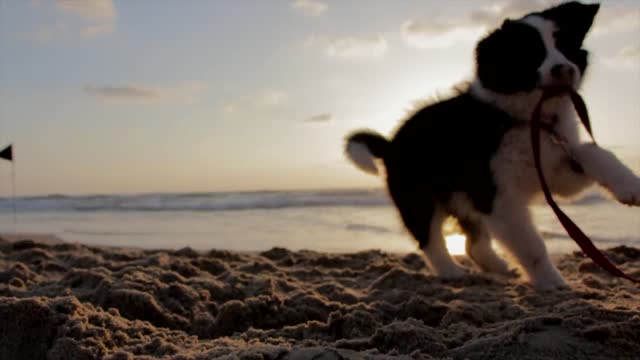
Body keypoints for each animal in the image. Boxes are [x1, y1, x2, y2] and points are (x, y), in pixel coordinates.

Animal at [344, 1, 640, 292]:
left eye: (564, 45)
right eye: (529, 53)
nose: (564, 69)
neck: (526, 119)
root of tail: (391, 145)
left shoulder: (555, 169)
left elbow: (591, 151)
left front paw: (629, 185)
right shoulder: (498, 195)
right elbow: (531, 244)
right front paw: (552, 283)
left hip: (463, 198)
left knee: (473, 243)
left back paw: (498, 267)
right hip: (419, 196)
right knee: (429, 239)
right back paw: (452, 272)